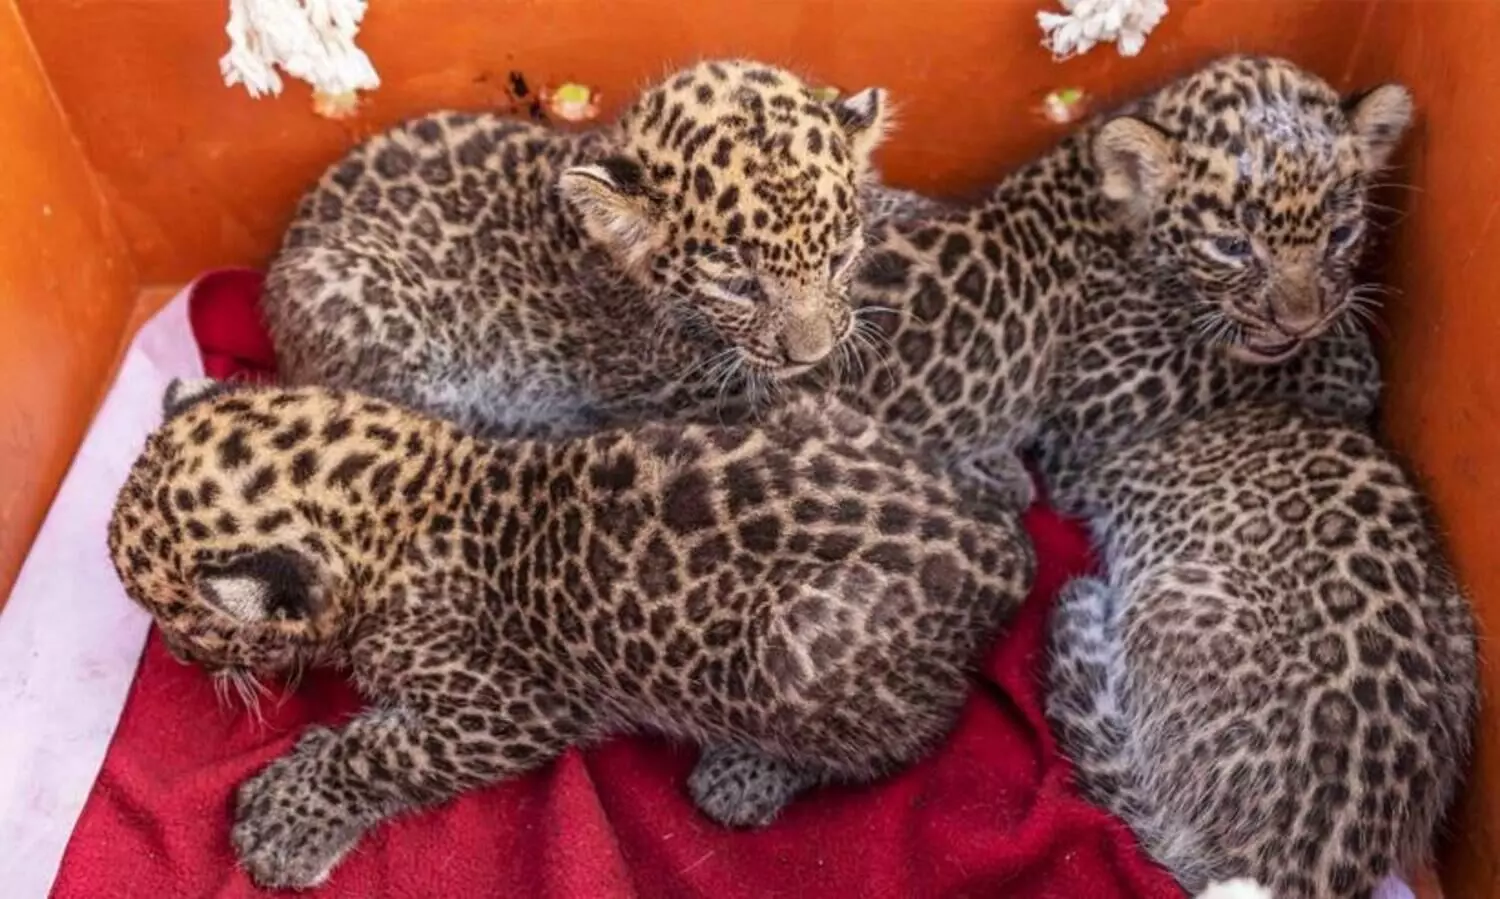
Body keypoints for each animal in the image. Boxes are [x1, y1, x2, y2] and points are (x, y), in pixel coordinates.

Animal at [105, 377, 1034, 891]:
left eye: (176, 620)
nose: (176, 654)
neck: (412, 501)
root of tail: (992, 551)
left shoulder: (511, 705)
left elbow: (381, 749)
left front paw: (287, 816)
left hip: (800, 647)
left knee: (909, 735)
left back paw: (748, 772)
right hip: (801, 403)